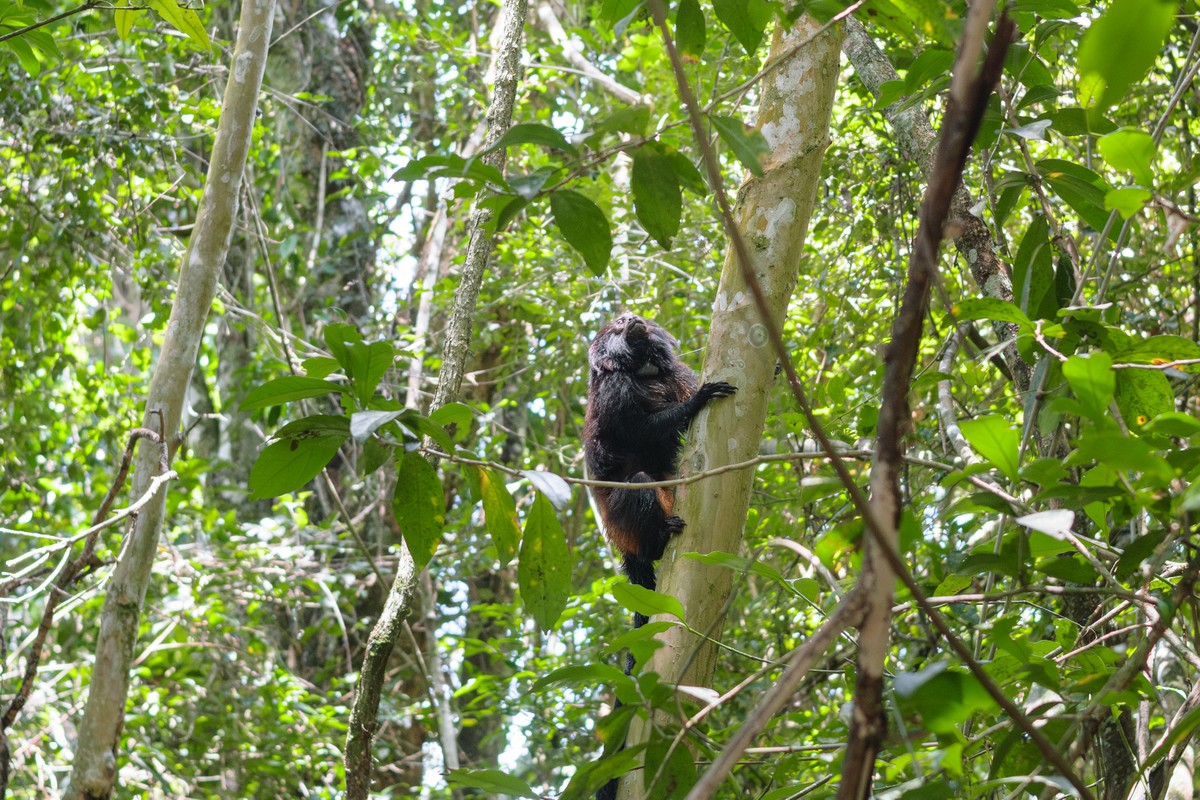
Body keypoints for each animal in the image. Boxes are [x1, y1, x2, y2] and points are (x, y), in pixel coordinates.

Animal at [583, 311, 734, 633]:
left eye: (633, 315)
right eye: (619, 322)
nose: (631, 317)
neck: (642, 371)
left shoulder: (675, 373)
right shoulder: (615, 386)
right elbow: (640, 431)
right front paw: (696, 401)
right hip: (622, 523)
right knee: (639, 483)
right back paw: (658, 539)